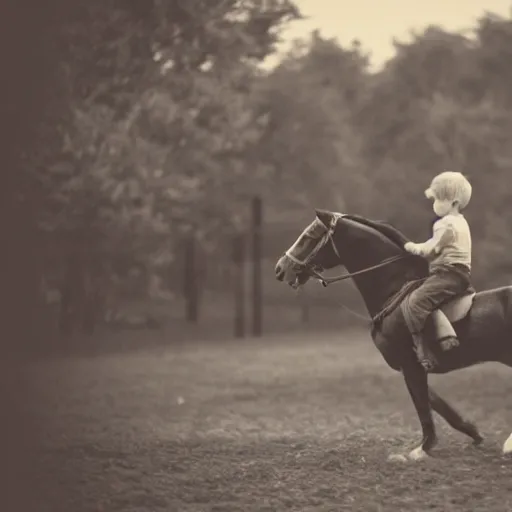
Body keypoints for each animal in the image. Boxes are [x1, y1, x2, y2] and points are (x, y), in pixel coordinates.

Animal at [276, 208, 512, 460]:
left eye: (308, 237)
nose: (280, 268)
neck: (393, 291)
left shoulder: (411, 365)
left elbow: (422, 405)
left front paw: (423, 447)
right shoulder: (410, 368)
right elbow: (435, 402)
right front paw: (472, 432)